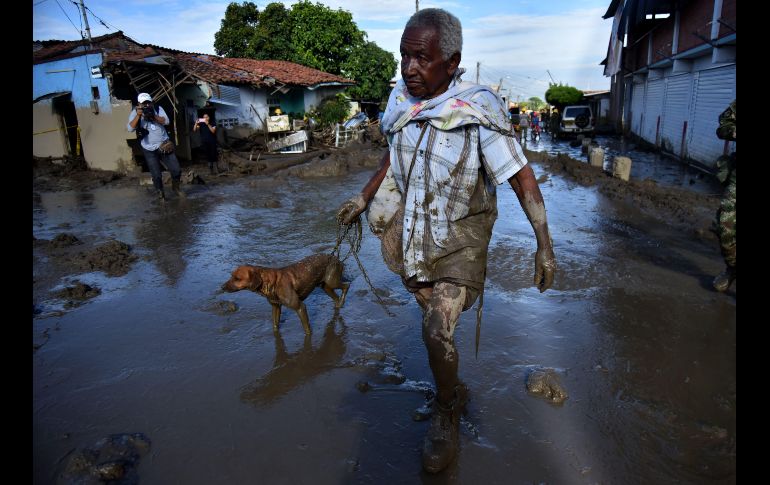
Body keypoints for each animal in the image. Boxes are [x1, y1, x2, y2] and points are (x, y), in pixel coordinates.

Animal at [220, 253, 350, 332]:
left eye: (237, 278)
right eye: (231, 276)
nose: (222, 287)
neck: (269, 282)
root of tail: (336, 258)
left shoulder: (300, 307)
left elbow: (307, 329)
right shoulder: (276, 307)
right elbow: (275, 325)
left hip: (332, 281)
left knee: (347, 285)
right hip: (325, 286)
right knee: (336, 296)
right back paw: (339, 305)